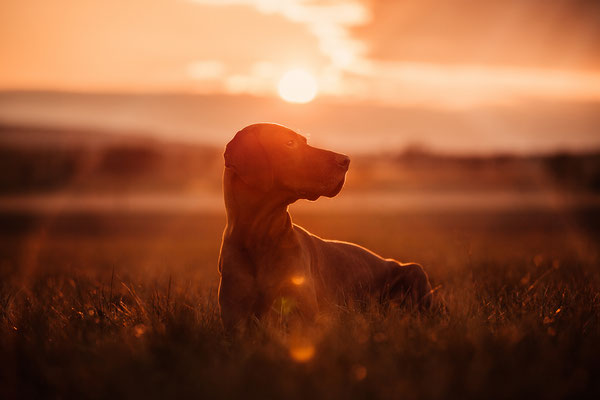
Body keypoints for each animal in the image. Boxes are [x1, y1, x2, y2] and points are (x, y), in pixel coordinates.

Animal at [218, 122, 428, 332]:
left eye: (304, 141)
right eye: (289, 143)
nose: (346, 160)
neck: (259, 238)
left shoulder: (303, 314)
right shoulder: (234, 318)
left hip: (414, 271)